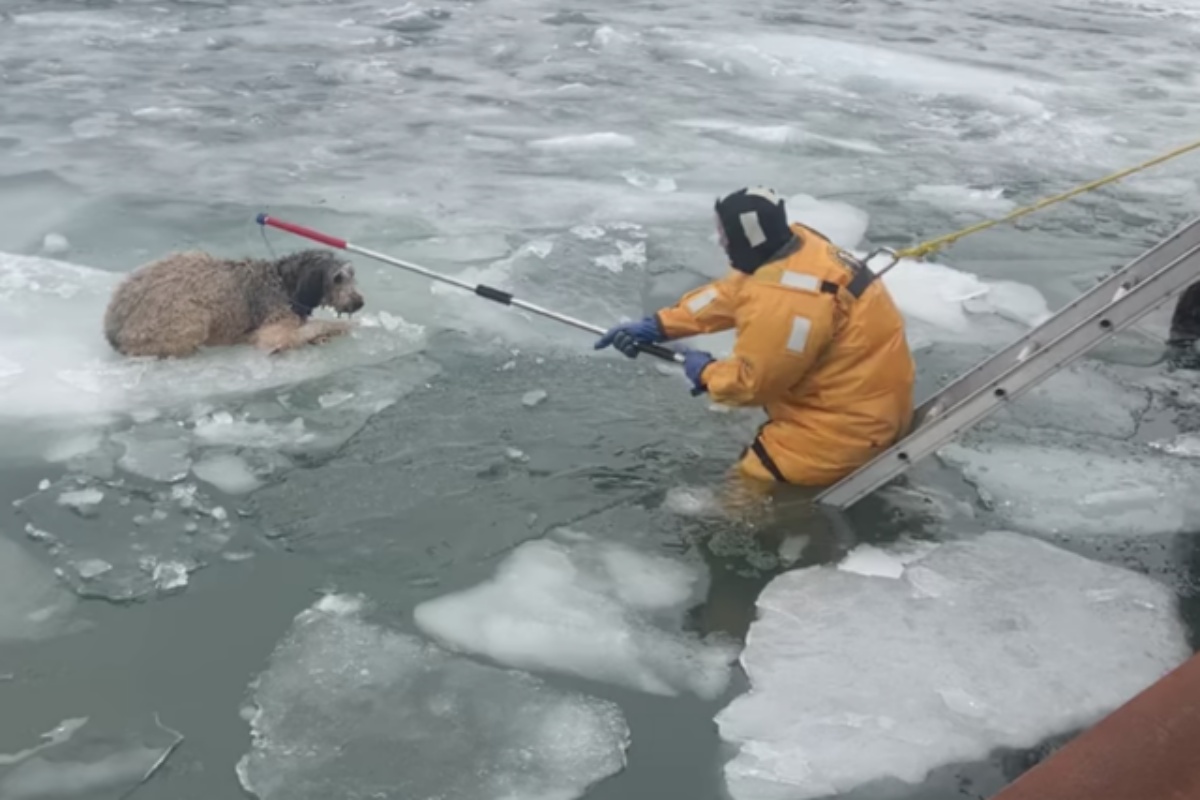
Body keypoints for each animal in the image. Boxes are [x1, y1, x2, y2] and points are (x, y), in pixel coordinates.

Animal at [102, 248, 364, 357]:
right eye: (337, 278)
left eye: (352, 274)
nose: (359, 302)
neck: (284, 281)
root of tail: (112, 329)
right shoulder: (273, 331)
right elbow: (313, 326)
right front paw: (341, 327)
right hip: (190, 318)